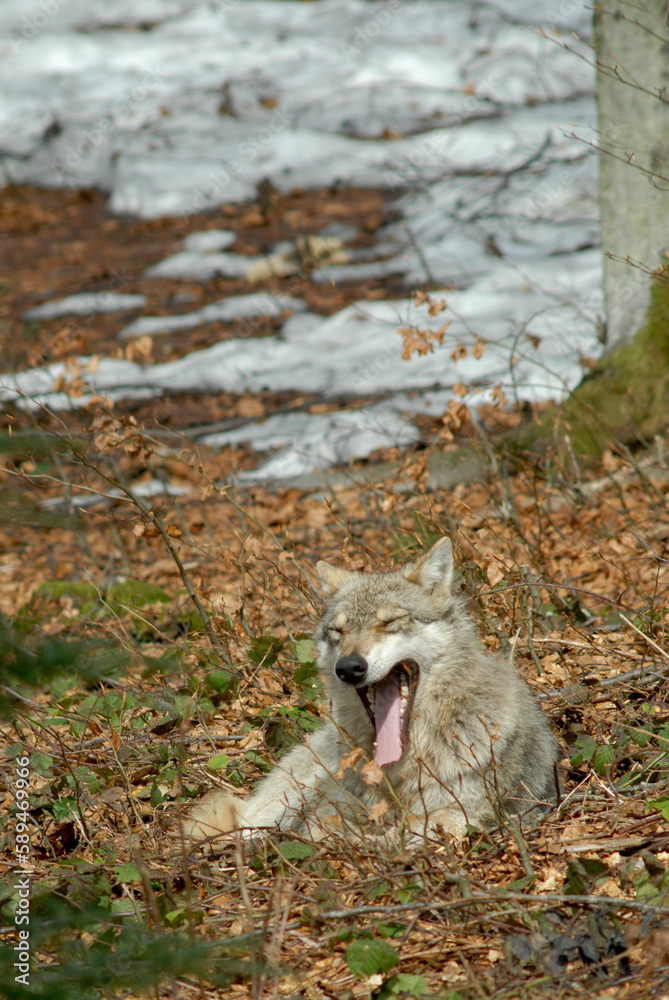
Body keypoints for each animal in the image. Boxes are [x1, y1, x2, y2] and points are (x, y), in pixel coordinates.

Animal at [186, 536, 558, 846]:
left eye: (389, 622)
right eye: (338, 631)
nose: (350, 667)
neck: (398, 770)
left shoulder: (460, 813)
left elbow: (410, 830)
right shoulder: (332, 806)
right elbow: (328, 826)